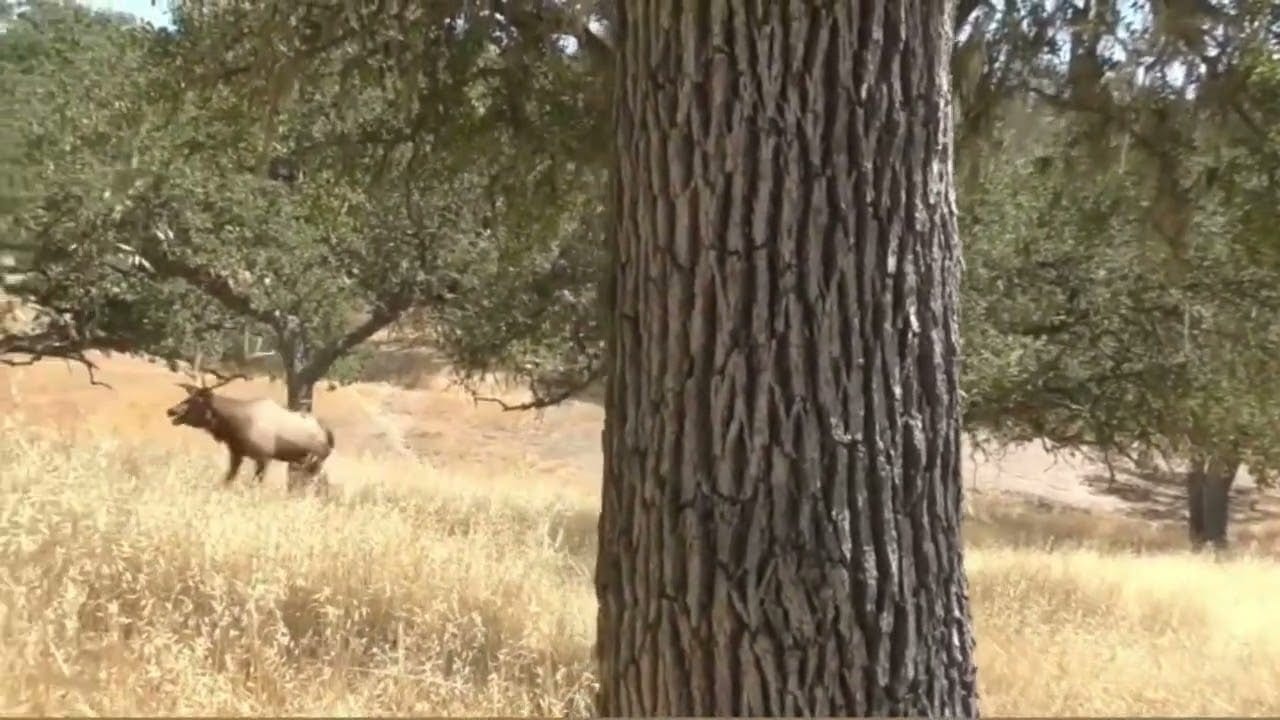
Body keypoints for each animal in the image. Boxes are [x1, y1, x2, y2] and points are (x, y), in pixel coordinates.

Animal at [164, 373, 336, 494]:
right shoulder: (236, 453)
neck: (236, 427)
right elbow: (228, 480)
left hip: (316, 461)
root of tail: (329, 435)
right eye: (188, 396)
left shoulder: (264, 457)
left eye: (196, 401)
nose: (171, 410)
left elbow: (255, 484)